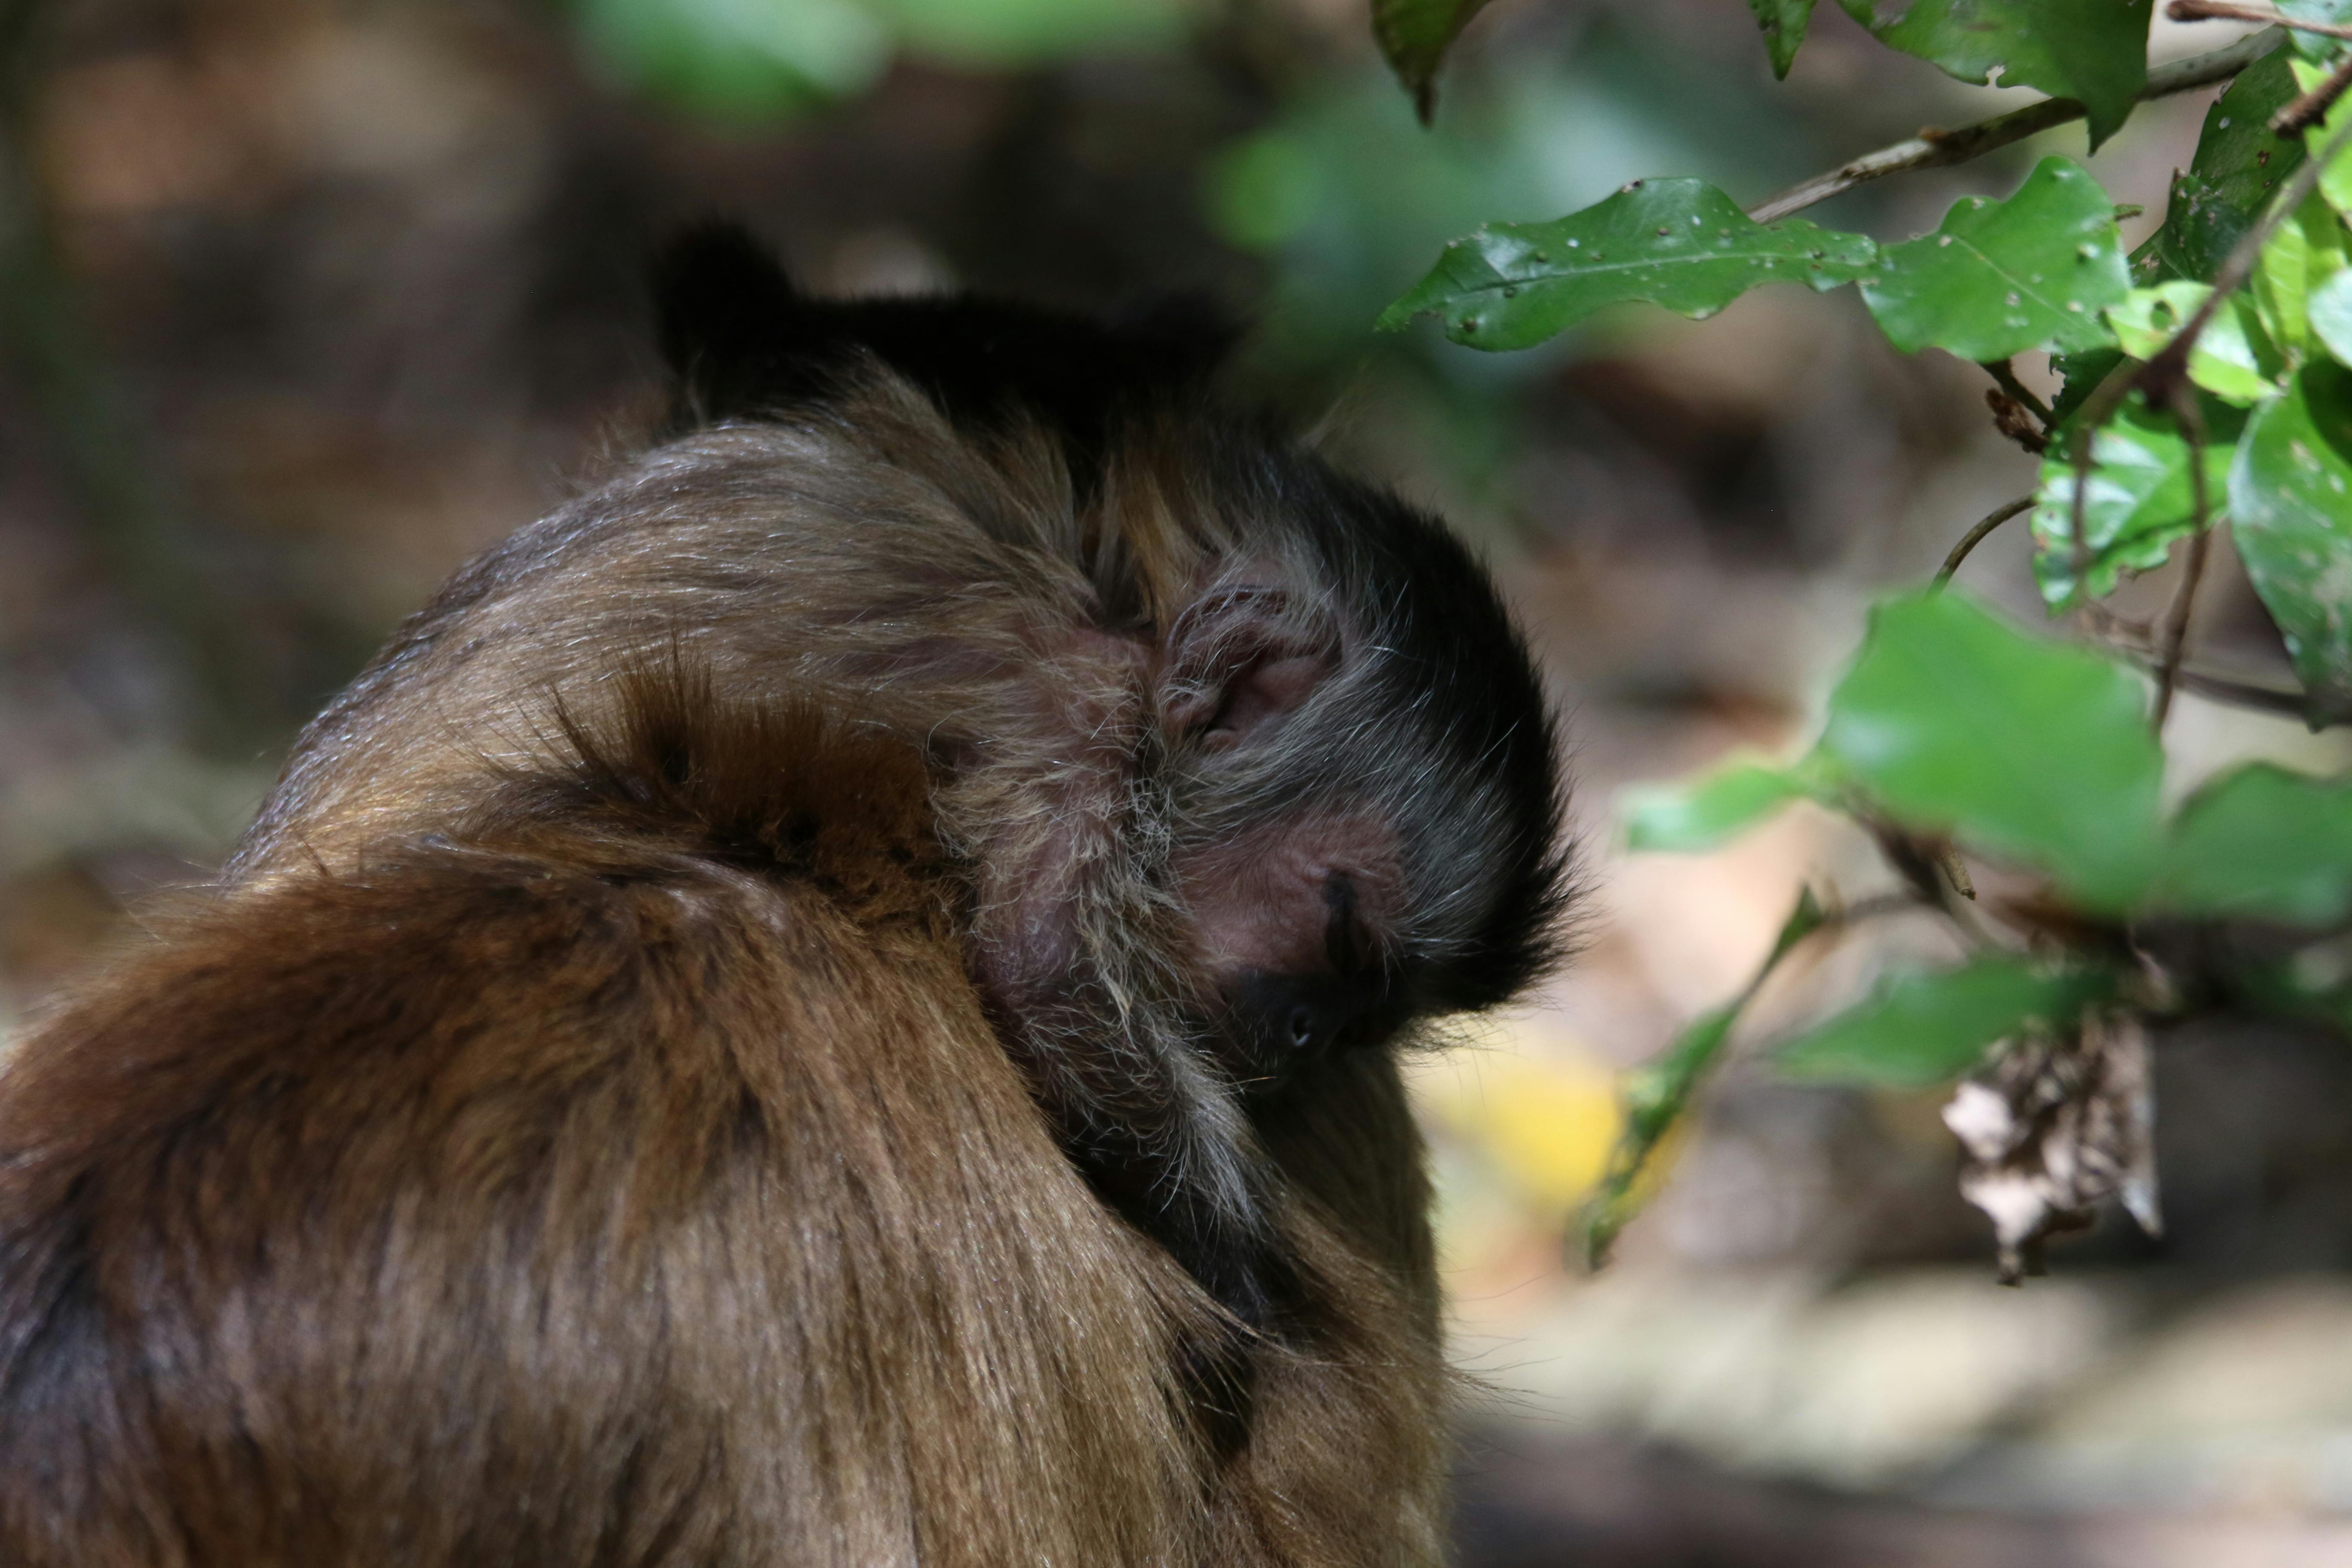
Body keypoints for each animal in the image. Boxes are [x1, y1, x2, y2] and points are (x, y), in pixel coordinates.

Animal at [9, 223, 1580, 1568]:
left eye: (1365, 1004)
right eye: (1339, 934)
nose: (1303, 1039)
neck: (1116, 618)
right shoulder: (1080, 751)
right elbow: (1046, 958)